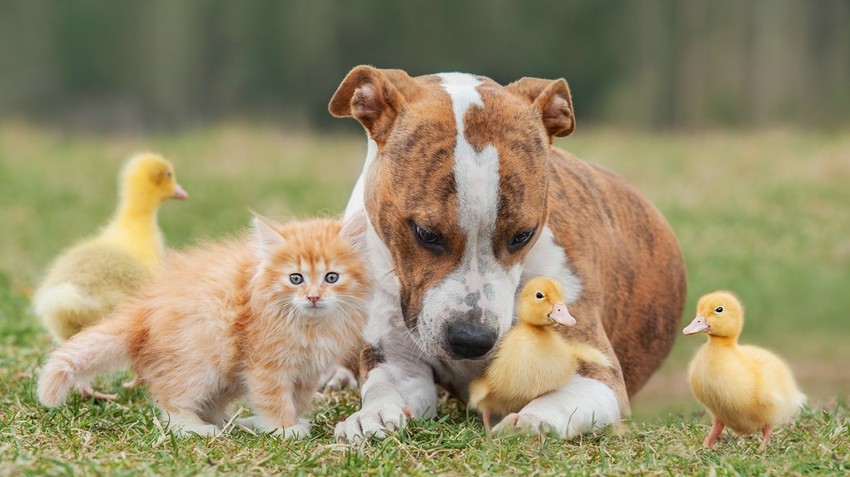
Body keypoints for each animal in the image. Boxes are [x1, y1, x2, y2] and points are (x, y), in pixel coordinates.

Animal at [37, 214, 372, 436]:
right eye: (295, 278)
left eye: (332, 277)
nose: (313, 296)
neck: (310, 325)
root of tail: (143, 309)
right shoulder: (265, 365)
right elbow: (274, 399)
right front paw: (283, 429)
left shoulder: (307, 372)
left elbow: (297, 400)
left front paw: (289, 422)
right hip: (201, 359)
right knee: (171, 405)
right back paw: (198, 429)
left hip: (225, 374)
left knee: (209, 405)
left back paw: (234, 424)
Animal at [328, 65, 684, 440]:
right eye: (426, 234)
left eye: (522, 236)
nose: (471, 340)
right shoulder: (397, 360)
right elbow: (385, 389)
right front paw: (373, 416)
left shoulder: (598, 373)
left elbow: (559, 400)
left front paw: (531, 421)